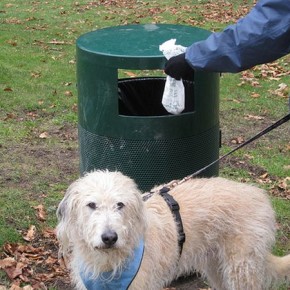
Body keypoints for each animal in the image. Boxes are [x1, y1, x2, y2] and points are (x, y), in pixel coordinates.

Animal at [56, 171, 290, 288]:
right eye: (91, 205)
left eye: (120, 205)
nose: (109, 237)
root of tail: (258, 195)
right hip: (217, 267)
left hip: (241, 268)